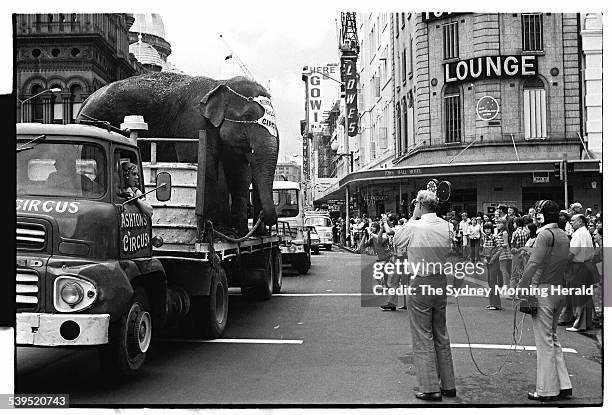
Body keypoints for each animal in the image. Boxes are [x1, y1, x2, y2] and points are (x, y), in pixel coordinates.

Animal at [77, 72, 280, 237]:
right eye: (247, 117)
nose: (261, 215)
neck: (219, 83)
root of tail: (86, 101)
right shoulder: (193, 124)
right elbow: (204, 166)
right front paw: (219, 232)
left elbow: (238, 173)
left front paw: (237, 233)